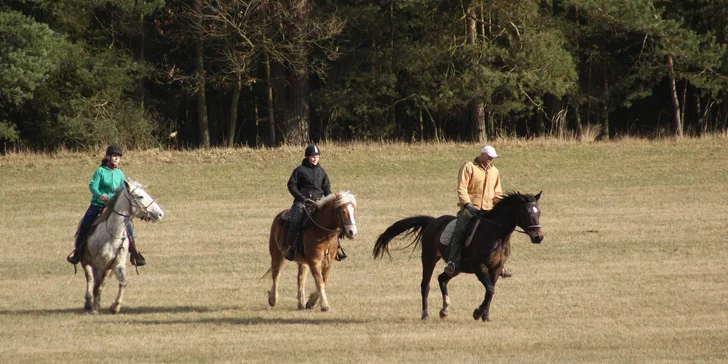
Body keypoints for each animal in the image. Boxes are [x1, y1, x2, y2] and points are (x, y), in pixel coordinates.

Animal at [80, 181, 164, 314]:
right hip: (85, 261)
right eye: (140, 196)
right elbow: (96, 286)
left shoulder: (118, 264)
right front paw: (95, 310)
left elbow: (123, 283)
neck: (112, 236)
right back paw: (89, 303)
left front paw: (115, 307)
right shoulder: (97, 265)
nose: (160, 214)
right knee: (89, 278)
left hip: (107, 268)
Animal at [376, 192, 540, 320]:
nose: (538, 237)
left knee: (442, 279)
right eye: (526, 213)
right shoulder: (479, 267)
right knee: (425, 285)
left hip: (457, 268)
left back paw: (444, 310)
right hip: (429, 259)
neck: (496, 235)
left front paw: (485, 316)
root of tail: (432, 221)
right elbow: (490, 289)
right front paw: (477, 313)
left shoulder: (496, 268)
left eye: (538, 212)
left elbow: (491, 290)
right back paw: (425, 314)